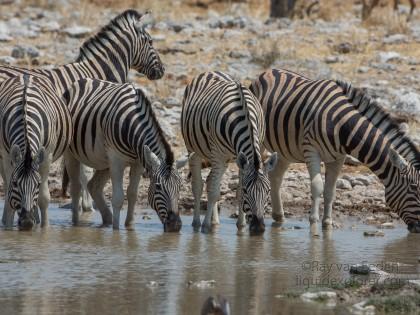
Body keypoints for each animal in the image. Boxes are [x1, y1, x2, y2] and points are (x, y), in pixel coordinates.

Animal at [0, 75, 72, 231]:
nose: (27, 223)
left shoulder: (47, 157)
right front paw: (8, 229)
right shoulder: (7, 157)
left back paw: (37, 219)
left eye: (38, 184)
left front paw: (44, 229)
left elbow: (43, 198)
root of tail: (25, 75)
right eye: (15, 183)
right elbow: (8, 195)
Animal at [62, 79, 182, 232]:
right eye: (158, 186)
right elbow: (119, 198)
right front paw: (116, 230)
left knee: (93, 185)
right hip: (71, 153)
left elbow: (132, 194)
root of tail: (82, 80)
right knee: (76, 188)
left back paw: (107, 219)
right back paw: (75, 224)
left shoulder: (138, 163)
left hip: (104, 162)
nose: (175, 225)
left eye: (180, 186)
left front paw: (130, 226)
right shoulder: (116, 160)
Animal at [181, 71, 278, 235]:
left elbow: (235, 192)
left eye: (268, 191)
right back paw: (197, 223)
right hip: (194, 150)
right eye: (247, 190)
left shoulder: (243, 159)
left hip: (225, 159)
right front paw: (205, 227)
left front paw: (241, 225)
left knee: (210, 180)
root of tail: (210, 72)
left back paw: (215, 222)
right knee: (199, 185)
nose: (258, 228)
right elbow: (214, 192)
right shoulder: (218, 156)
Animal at [249, 69, 420, 233]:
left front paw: (327, 223)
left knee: (275, 175)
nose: (418, 229)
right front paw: (314, 222)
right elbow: (317, 186)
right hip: (260, 137)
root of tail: (267, 72)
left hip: (286, 149)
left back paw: (279, 216)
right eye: (414, 188)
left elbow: (330, 191)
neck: (342, 126)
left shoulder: (338, 157)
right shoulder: (311, 150)